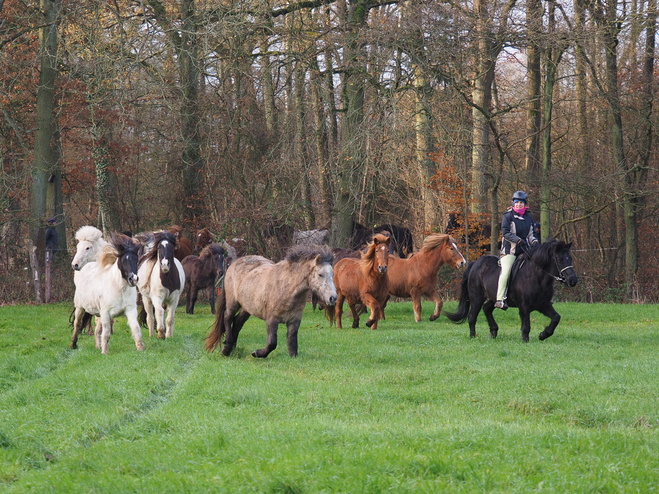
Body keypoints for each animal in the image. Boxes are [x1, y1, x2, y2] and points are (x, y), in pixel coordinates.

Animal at [205, 244, 340, 356]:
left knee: (237, 322)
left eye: (333, 274)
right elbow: (272, 343)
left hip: (246, 308)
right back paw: (227, 348)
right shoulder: (272, 320)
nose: (333, 298)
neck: (287, 288)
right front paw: (257, 353)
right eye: (320, 274)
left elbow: (292, 344)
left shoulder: (294, 321)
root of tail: (233, 264)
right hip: (233, 302)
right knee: (227, 317)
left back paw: (232, 347)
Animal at [444, 238, 576, 340]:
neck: (535, 277)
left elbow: (556, 318)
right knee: (472, 317)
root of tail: (475, 264)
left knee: (486, 308)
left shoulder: (543, 305)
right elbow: (526, 326)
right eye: (560, 259)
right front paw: (526, 340)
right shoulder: (524, 306)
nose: (573, 280)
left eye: (570, 258)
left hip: (494, 298)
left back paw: (493, 331)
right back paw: (473, 337)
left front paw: (543, 335)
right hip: (476, 297)